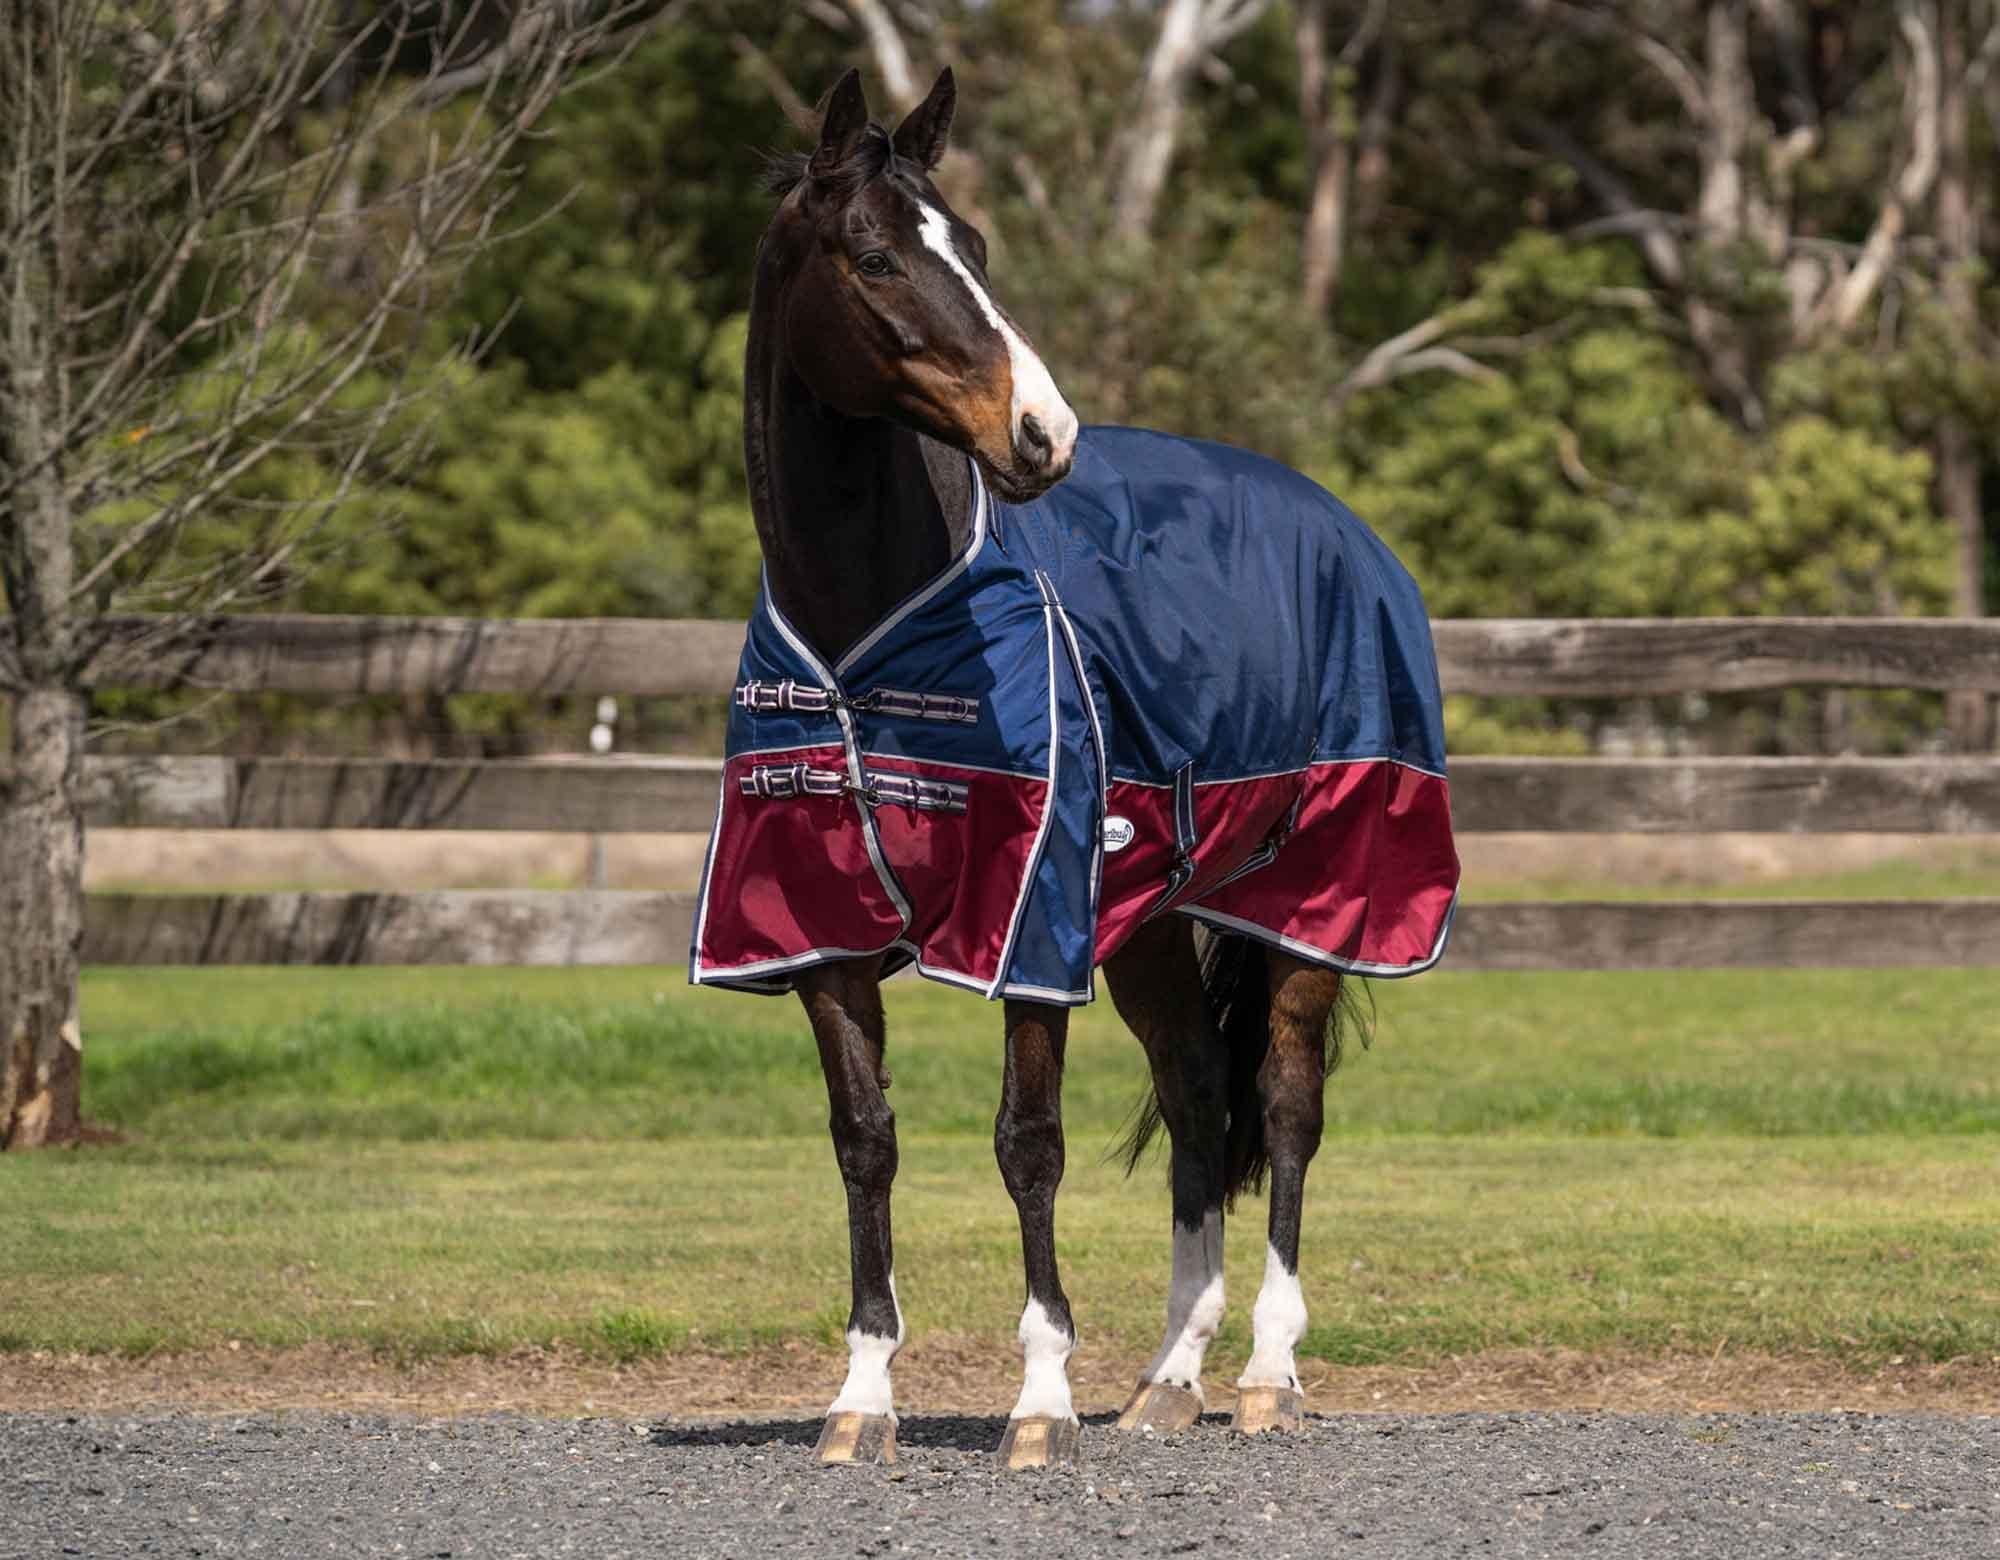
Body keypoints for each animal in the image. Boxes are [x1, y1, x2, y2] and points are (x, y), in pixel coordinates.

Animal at [694, 67, 1459, 1469]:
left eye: (977, 246)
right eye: (875, 256)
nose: (1041, 435)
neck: (864, 629)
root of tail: (1345, 531)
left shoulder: (1027, 919)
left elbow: (1026, 1144)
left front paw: (1040, 1399)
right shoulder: (818, 933)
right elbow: (864, 1143)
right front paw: (860, 1396)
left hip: (1321, 906)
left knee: (1284, 1107)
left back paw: (1265, 1373)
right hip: (1152, 919)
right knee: (1199, 1099)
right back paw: (1166, 1378)